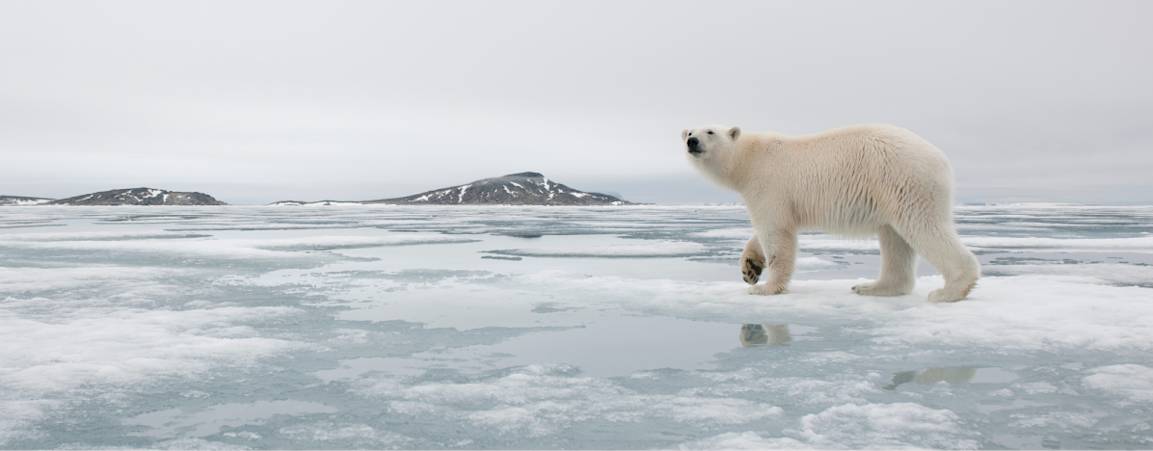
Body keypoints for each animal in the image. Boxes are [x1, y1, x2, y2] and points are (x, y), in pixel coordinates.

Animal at [683, 124, 980, 302]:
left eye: (710, 131)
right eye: (687, 132)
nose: (692, 141)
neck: (749, 158)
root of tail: (941, 159)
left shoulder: (769, 185)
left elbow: (776, 233)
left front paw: (764, 287)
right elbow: (766, 231)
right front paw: (750, 269)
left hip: (905, 180)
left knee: (922, 226)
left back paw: (949, 290)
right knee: (894, 238)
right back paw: (872, 287)